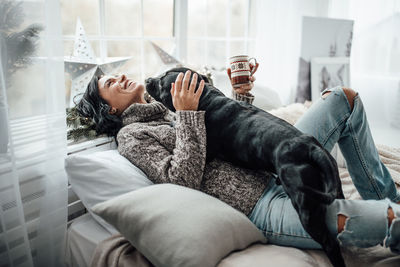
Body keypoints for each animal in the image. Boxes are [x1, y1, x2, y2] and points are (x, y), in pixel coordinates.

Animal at [145, 67, 346, 267]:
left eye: (161, 81)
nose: (147, 79)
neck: (206, 99)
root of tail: (311, 148)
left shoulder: (206, 152)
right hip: (332, 185)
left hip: (307, 209)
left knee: (330, 243)